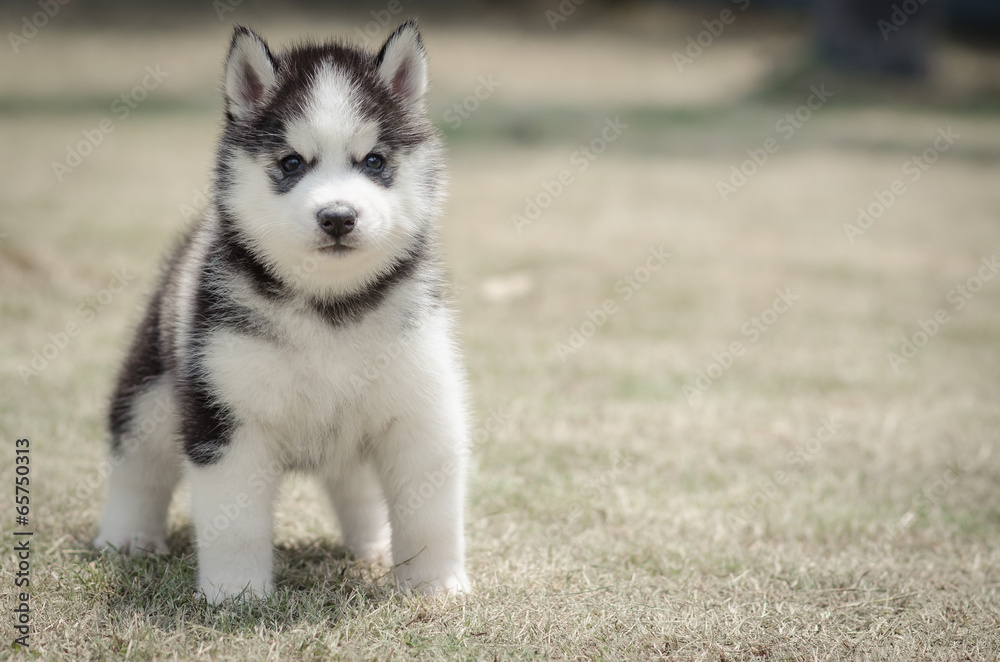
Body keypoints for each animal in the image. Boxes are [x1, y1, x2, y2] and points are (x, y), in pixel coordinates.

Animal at [94, 22, 468, 600]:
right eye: (292, 163)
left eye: (375, 161)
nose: (337, 216)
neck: (329, 307)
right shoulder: (226, 417)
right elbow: (235, 520)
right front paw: (235, 593)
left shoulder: (420, 409)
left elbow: (430, 511)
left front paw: (435, 584)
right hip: (152, 391)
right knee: (137, 463)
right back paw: (127, 537)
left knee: (355, 485)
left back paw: (374, 546)